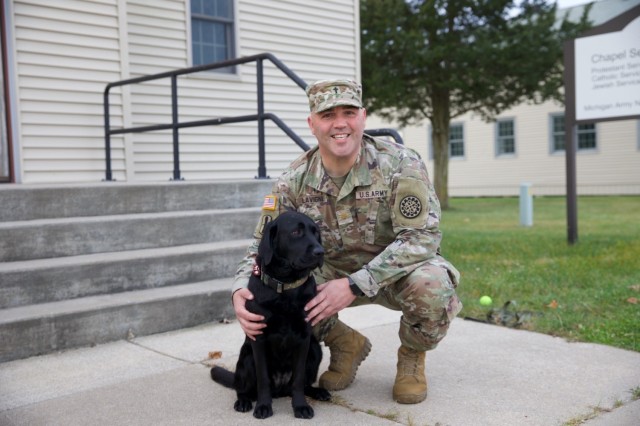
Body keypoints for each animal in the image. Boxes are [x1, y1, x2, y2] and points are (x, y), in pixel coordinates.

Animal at [211, 211, 330, 418]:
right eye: (296, 232)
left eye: (316, 233)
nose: (320, 252)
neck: (286, 286)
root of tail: (280, 390)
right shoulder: (259, 336)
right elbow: (263, 378)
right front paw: (263, 406)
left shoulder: (304, 338)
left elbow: (298, 379)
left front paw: (300, 406)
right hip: (246, 358)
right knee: (241, 389)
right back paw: (243, 402)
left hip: (315, 349)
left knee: (302, 384)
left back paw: (317, 392)